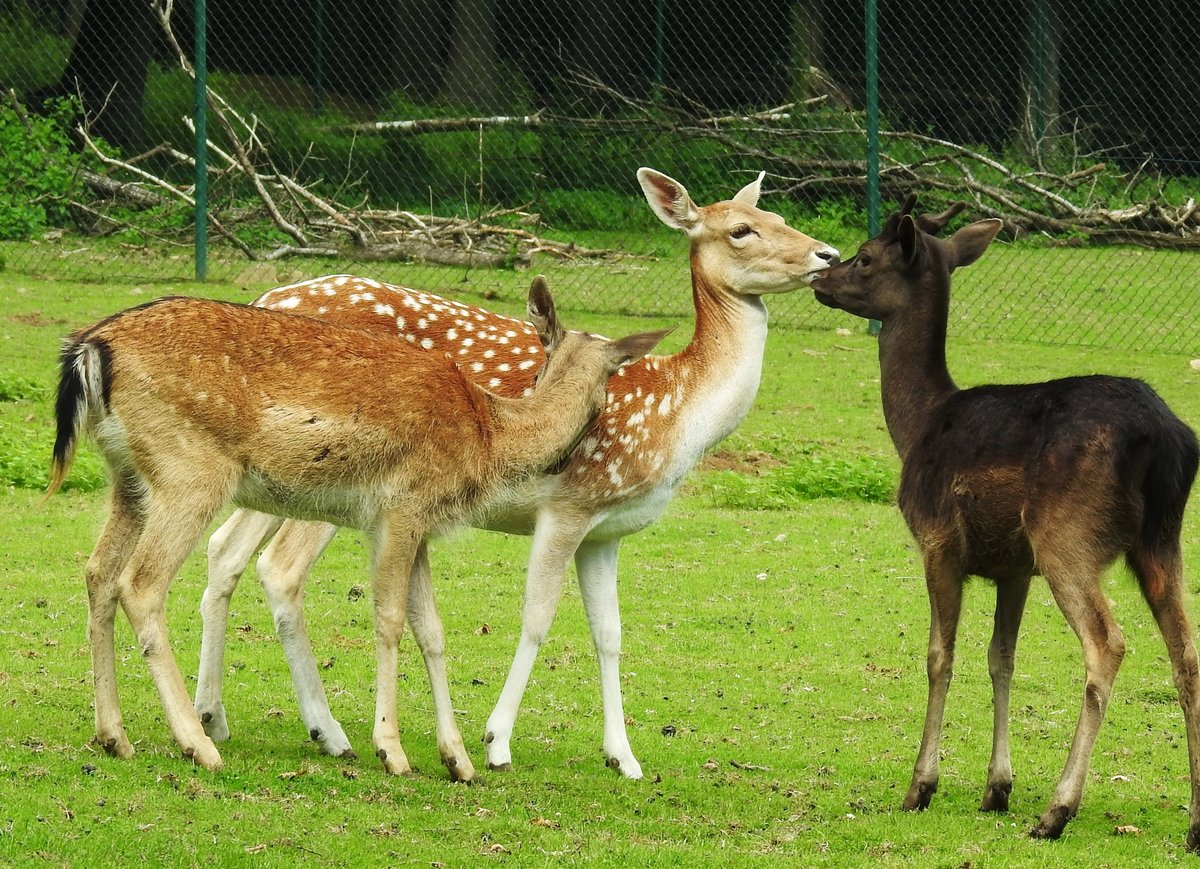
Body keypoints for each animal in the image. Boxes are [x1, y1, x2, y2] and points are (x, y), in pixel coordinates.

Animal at [49, 279, 667, 772]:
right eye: (613, 378)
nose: (595, 441)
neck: (488, 433)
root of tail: (91, 347)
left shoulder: (420, 525)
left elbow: (432, 630)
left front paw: (459, 760)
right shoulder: (399, 509)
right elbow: (389, 620)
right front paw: (392, 751)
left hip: (128, 476)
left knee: (97, 572)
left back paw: (114, 736)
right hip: (190, 473)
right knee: (141, 583)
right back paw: (198, 744)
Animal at [196, 166, 840, 777]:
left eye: (780, 216)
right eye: (741, 230)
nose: (827, 255)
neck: (677, 415)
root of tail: (271, 298)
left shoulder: (606, 531)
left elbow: (610, 634)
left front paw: (624, 758)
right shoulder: (569, 504)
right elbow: (536, 618)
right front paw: (497, 741)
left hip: (281, 476)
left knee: (226, 548)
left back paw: (215, 717)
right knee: (280, 567)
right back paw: (329, 733)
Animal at [806, 198, 1200, 849]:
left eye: (864, 257)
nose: (820, 275)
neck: (916, 425)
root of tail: (1167, 440)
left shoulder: (939, 540)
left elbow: (940, 655)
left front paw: (921, 786)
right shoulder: (1013, 568)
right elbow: (1001, 658)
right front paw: (997, 788)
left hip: (1066, 535)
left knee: (1108, 643)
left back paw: (1057, 811)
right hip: (1161, 540)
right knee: (1186, 652)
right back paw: (1193, 823)